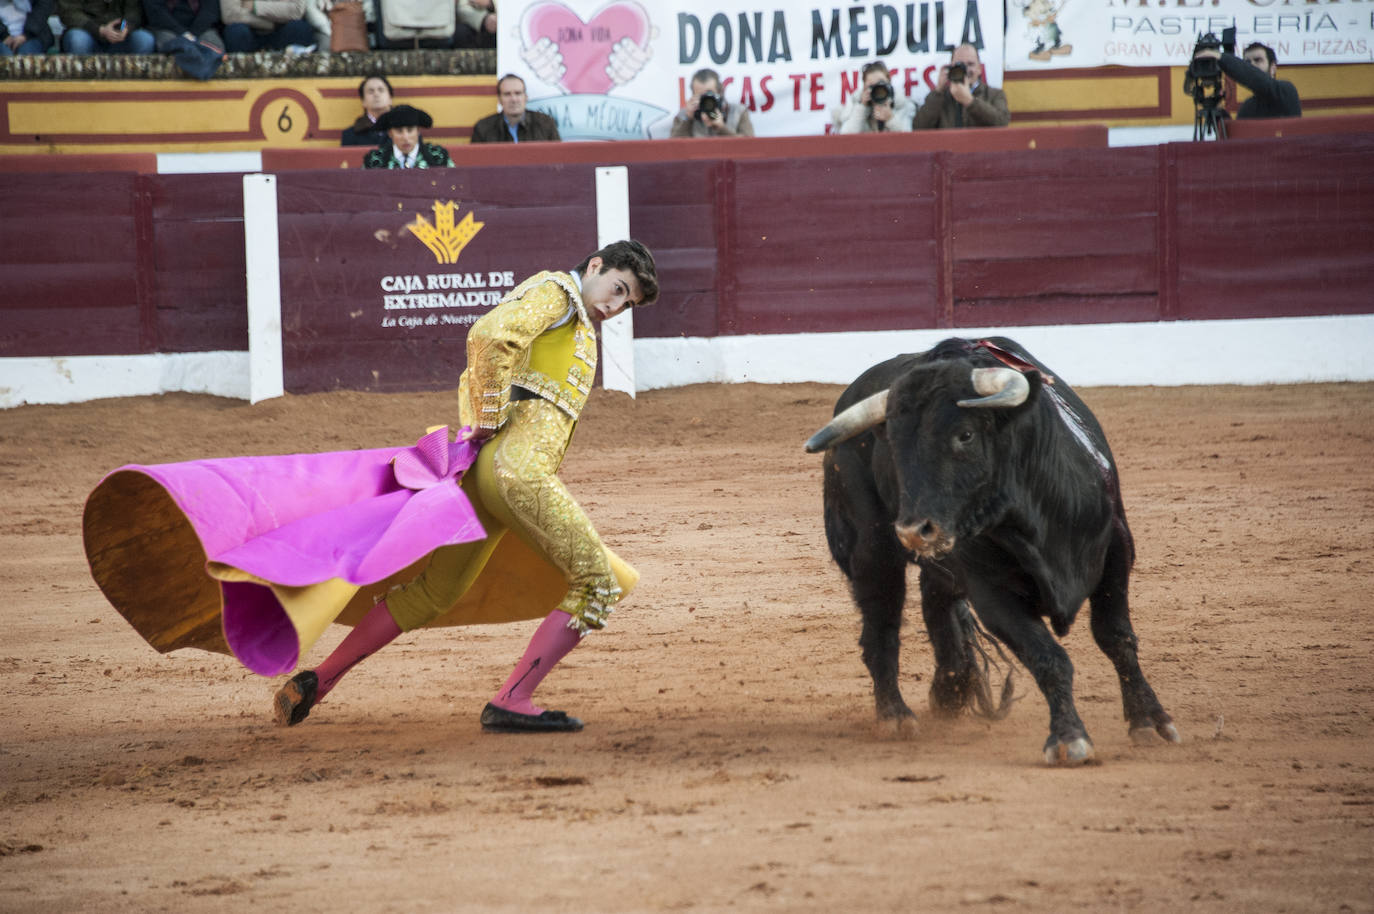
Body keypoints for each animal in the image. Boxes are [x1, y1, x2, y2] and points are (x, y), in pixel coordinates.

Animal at [802, 335, 1181, 764]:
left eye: (965, 435)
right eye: (893, 445)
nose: (914, 530)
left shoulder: (1116, 548)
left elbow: (1116, 637)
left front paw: (1150, 720)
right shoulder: (991, 591)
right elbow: (1047, 656)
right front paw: (1068, 737)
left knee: (937, 608)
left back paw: (950, 690)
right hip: (872, 551)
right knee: (881, 626)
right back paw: (895, 716)